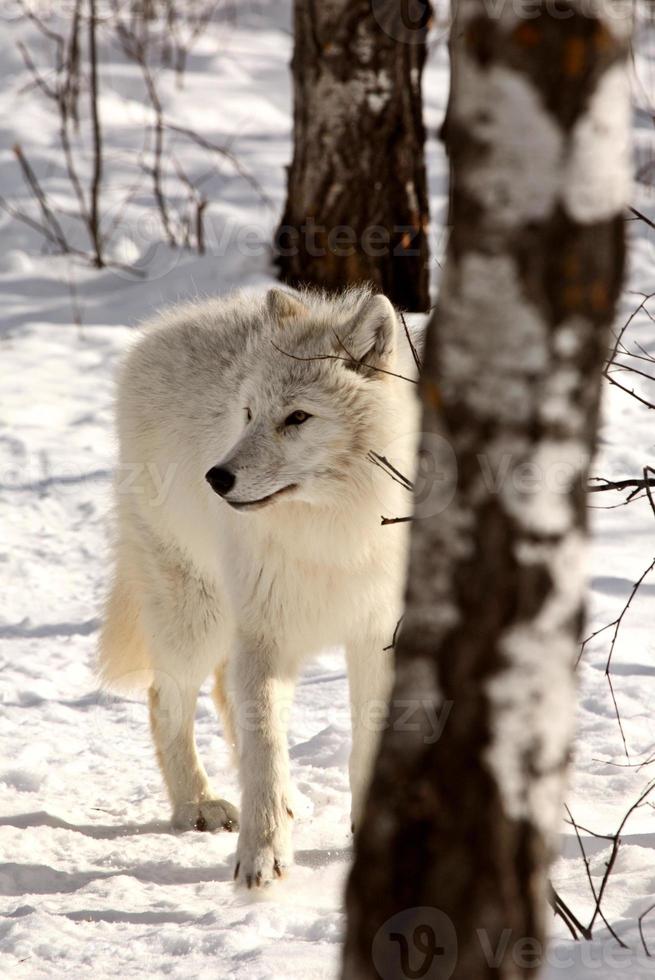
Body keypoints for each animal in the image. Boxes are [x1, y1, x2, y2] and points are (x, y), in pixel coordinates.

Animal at [100, 286, 422, 888]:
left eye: (297, 417)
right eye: (248, 414)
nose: (216, 477)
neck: (335, 531)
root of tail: (165, 325)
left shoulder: (378, 635)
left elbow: (366, 745)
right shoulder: (267, 633)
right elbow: (265, 750)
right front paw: (262, 856)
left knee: (223, 692)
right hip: (198, 617)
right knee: (165, 699)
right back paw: (198, 805)